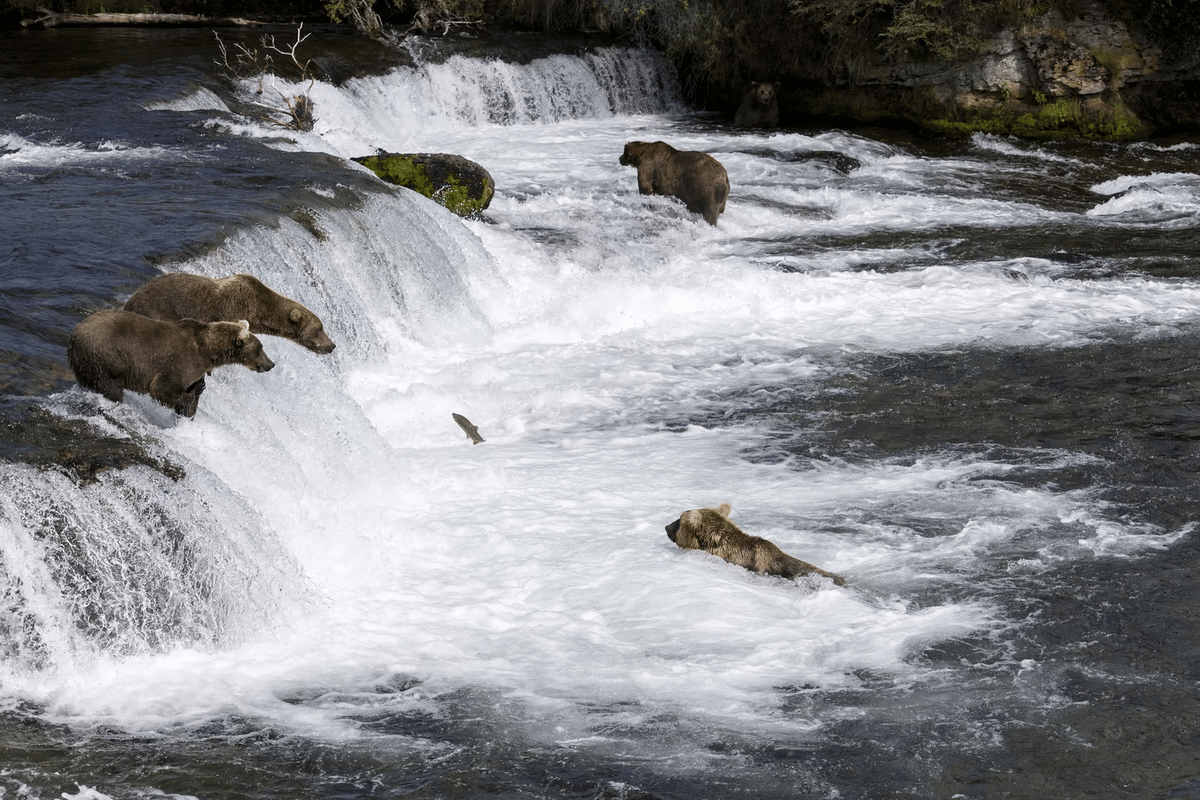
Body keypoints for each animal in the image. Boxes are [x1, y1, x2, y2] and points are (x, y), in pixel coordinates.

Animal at [69, 309, 276, 419]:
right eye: (260, 348)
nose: (271, 364)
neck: (208, 353)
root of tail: (74, 333)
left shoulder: (197, 370)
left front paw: (189, 409)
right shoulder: (181, 362)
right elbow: (162, 388)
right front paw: (193, 393)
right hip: (104, 357)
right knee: (110, 386)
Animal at [123, 272, 333, 352]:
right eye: (320, 329)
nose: (332, 346)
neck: (258, 311)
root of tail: (129, 302)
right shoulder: (232, 309)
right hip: (157, 310)